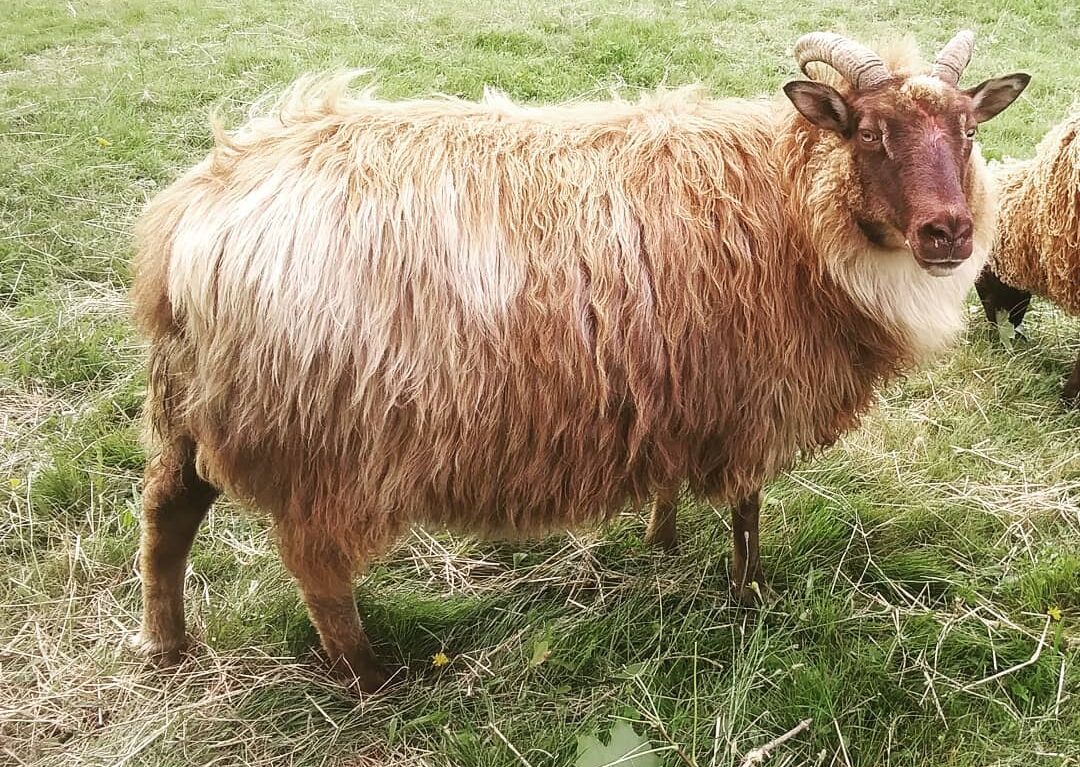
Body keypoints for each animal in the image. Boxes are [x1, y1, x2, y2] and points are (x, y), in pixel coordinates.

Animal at [130, 30, 1029, 691]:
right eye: (870, 132)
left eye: (970, 132)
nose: (950, 233)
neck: (792, 202)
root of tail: (191, 213)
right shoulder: (754, 395)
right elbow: (747, 509)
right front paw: (749, 596)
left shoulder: (679, 380)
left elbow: (676, 484)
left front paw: (663, 540)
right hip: (319, 435)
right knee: (313, 565)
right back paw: (370, 678)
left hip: (195, 402)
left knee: (166, 513)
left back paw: (168, 646)